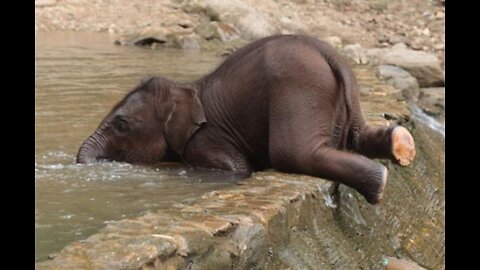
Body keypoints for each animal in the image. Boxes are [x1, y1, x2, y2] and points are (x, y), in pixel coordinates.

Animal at [77, 35, 414, 205]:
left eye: (121, 125)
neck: (185, 88)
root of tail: (329, 53)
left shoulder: (206, 141)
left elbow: (237, 169)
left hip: (297, 88)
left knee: (293, 153)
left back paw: (379, 184)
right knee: (357, 136)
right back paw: (401, 144)